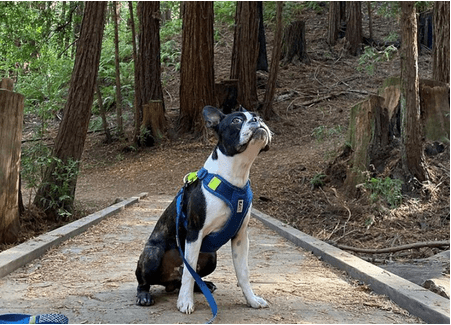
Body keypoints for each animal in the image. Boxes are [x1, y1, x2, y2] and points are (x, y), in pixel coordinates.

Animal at [136, 105, 272, 314]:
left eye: (260, 117)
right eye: (236, 120)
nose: (258, 121)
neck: (236, 174)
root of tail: (168, 282)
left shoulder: (241, 237)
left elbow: (243, 272)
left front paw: (251, 299)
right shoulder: (194, 233)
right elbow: (189, 271)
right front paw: (185, 302)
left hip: (211, 257)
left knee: (185, 277)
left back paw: (204, 286)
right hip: (153, 253)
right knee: (147, 280)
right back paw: (144, 295)